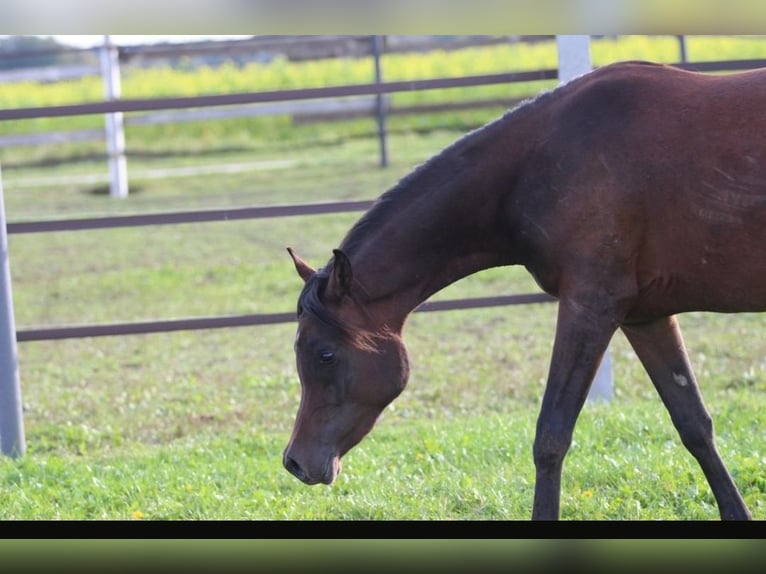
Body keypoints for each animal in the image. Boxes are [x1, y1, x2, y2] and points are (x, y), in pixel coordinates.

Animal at [284, 59, 766, 520]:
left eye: (324, 354)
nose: (294, 462)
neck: (541, 161)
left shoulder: (590, 307)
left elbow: (551, 435)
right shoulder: (644, 317)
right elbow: (693, 423)